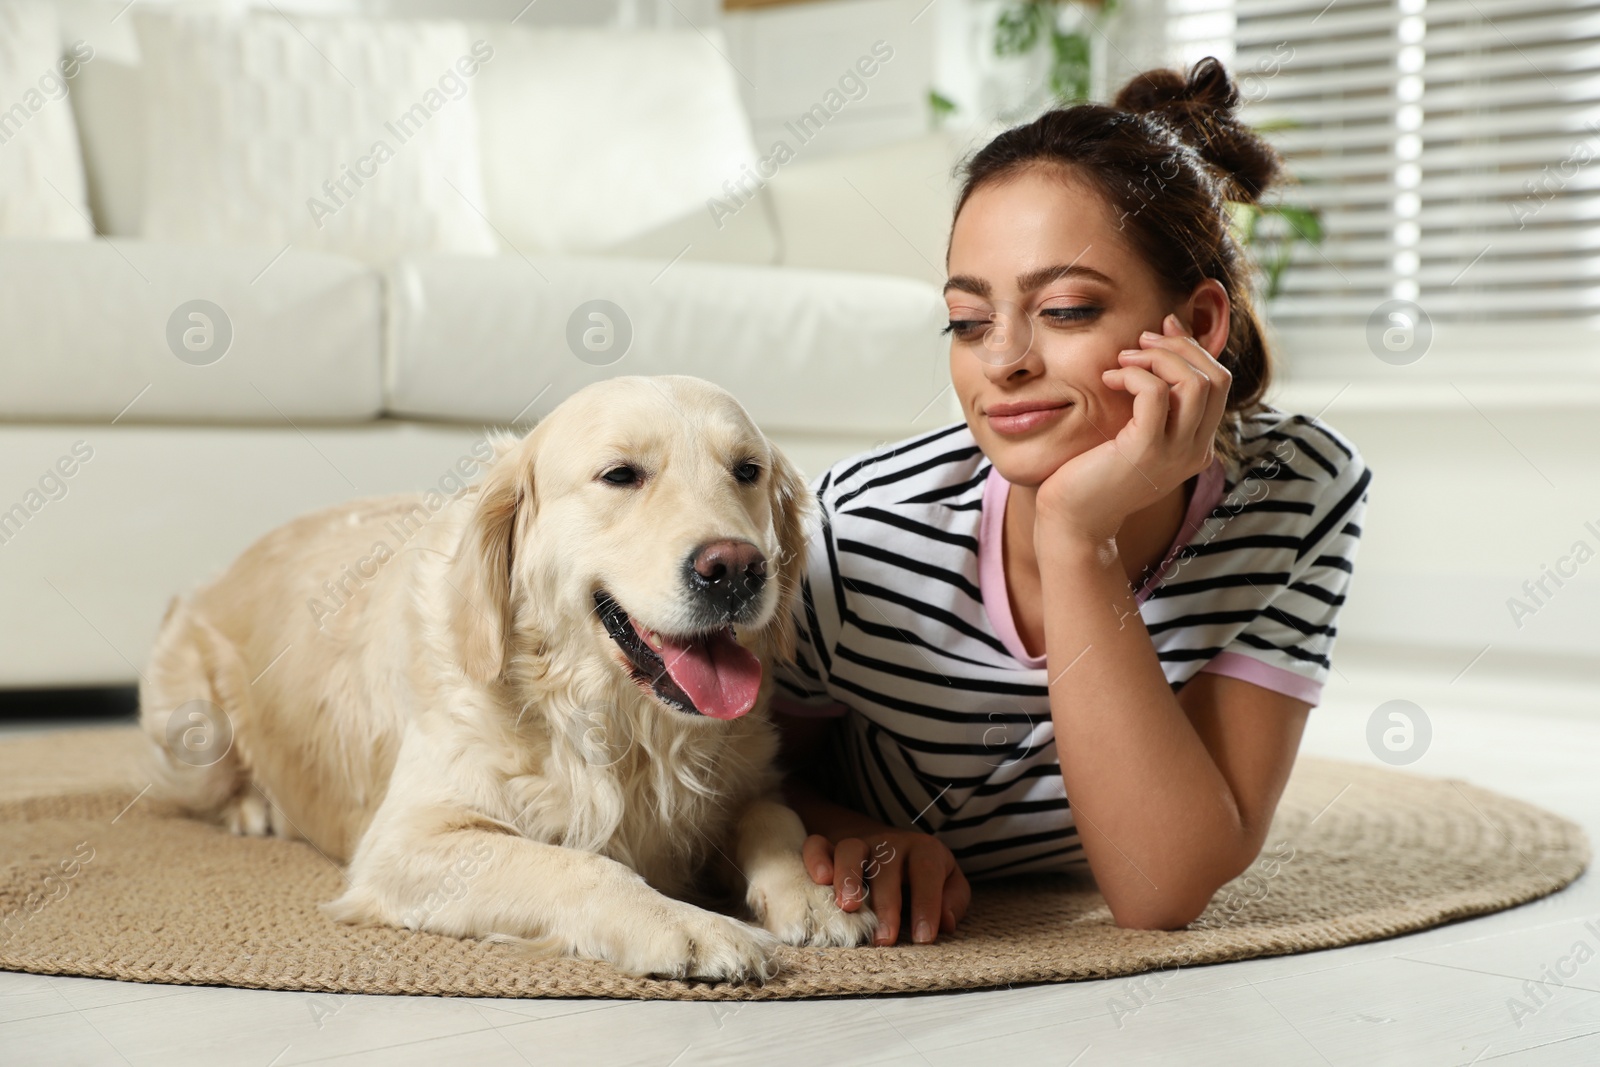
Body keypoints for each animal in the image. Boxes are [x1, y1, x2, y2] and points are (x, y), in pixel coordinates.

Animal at [140, 377, 876, 985]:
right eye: (620, 474)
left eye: (747, 470)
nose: (736, 568)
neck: (615, 721)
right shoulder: (408, 841)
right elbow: (582, 863)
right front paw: (688, 925)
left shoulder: (745, 779)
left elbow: (775, 814)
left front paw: (816, 890)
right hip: (194, 732)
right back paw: (253, 806)